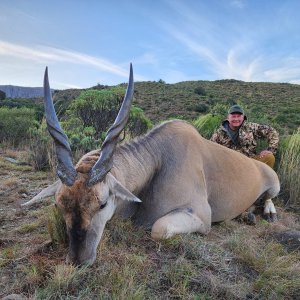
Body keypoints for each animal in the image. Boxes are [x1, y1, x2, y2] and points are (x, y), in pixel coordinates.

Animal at [22, 65, 280, 264]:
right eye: (59, 205)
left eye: (102, 204)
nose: (78, 260)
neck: (158, 161)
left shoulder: (201, 217)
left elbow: (159, 229)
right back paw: (248, 214)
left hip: (274, 185)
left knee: (269, 198)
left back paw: (265, 213)